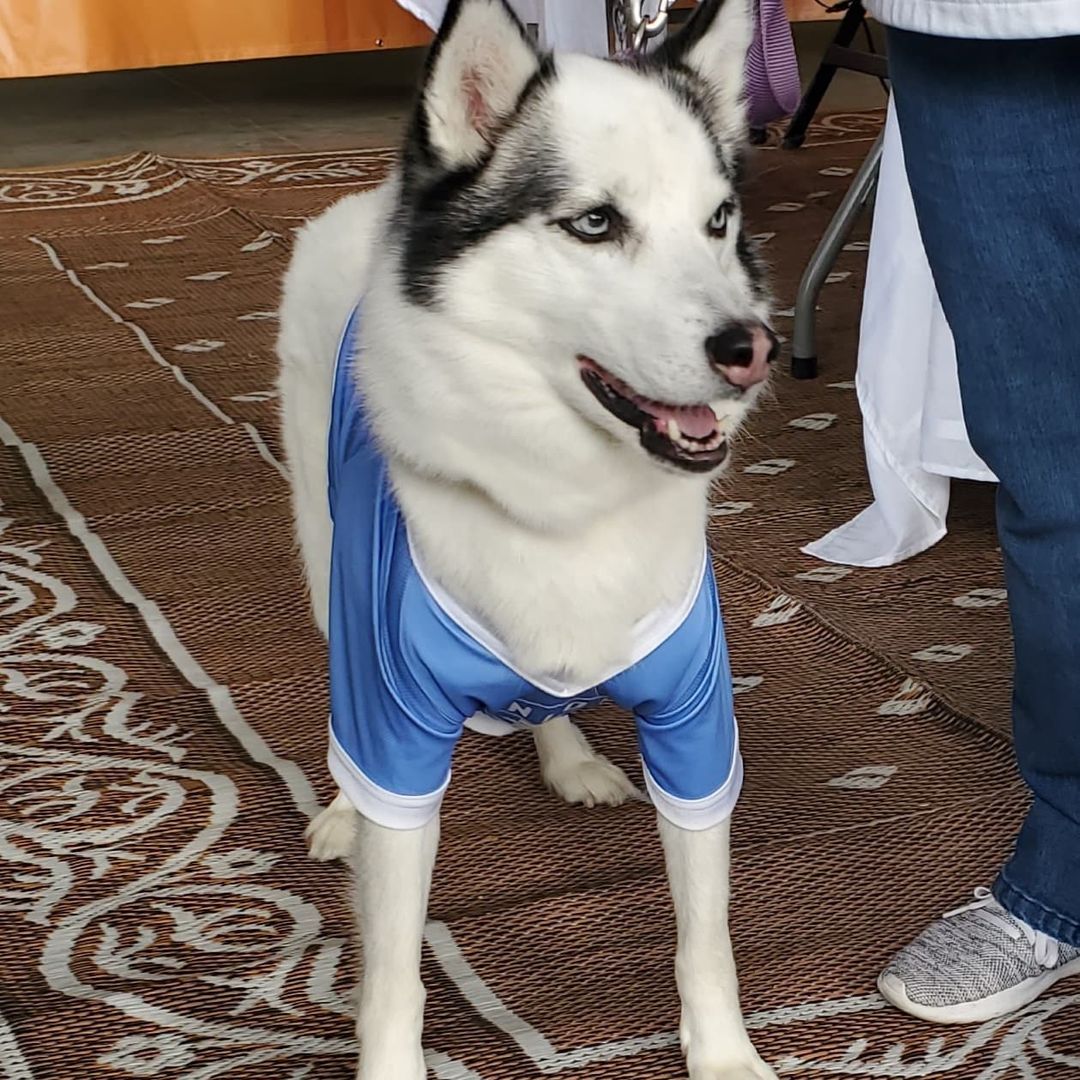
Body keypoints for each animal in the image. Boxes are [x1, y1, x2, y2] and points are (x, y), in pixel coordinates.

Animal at [280, 0, 777, 1075]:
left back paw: (567, 754)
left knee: (544, 698)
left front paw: (723, 1053)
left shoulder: (695, 724)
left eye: (719, 221)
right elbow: (392, 968)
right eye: (595, 223)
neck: (565, 501)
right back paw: (340, 811)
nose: (750, 349)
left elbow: (706, 935)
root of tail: (370, 205)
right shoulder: (396, 734)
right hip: (327, 569)